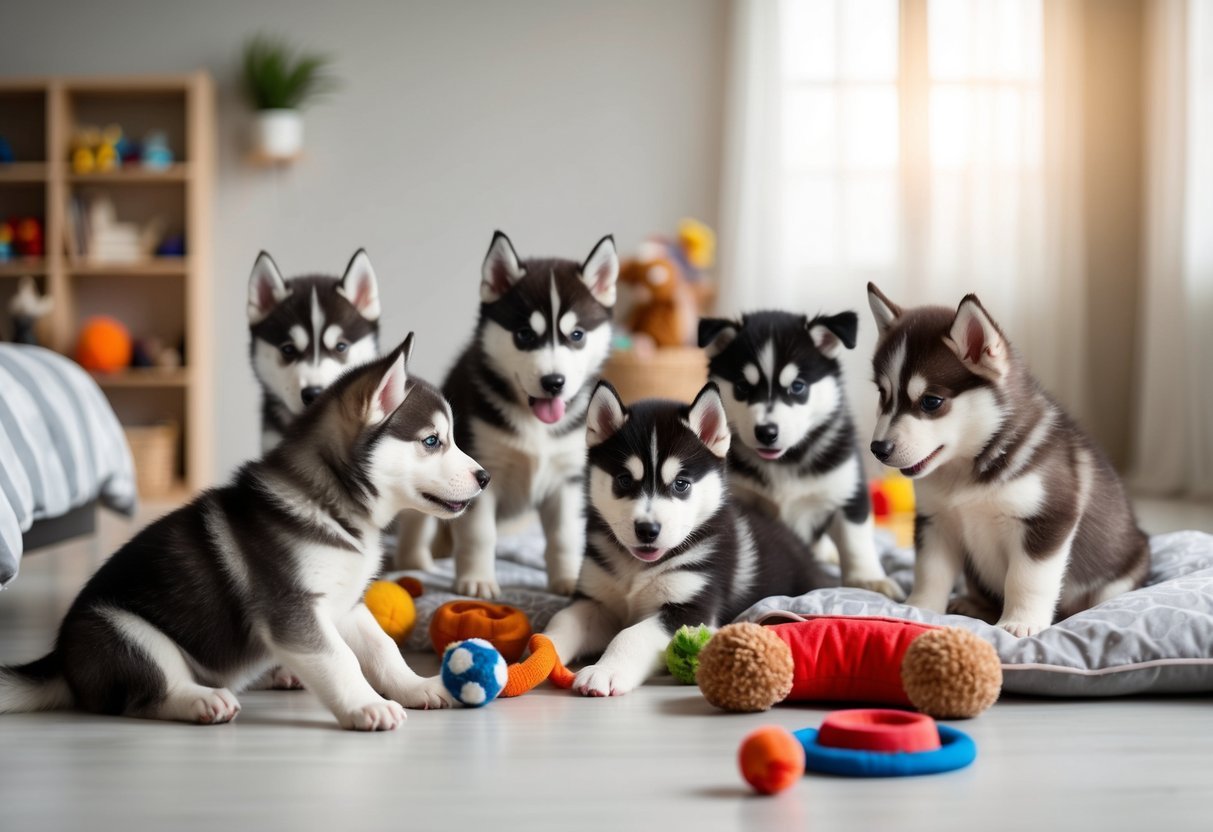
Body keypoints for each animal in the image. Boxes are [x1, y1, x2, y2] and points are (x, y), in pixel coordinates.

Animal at [2, 337, 492, 727]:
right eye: (432, 441)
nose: (485, 477)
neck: (333, 507)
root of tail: (60, 663)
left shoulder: (345, 605)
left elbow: (382, 649)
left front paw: (415, 686)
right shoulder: (292, 608)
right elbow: (340, 659)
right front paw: (365, 706)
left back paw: (280, 674)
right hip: (124, 631)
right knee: (149, 693)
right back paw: (201, 701)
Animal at [543, 383, 819, 698]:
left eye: (681, 484)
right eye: (624, 480)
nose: (647, 530)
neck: (636, 568)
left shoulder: (692, 608)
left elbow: (631, 634)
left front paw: (605, 670)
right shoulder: (594, 600)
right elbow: (563, 620)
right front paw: (542, 649)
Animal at [703, 312, 902, 599]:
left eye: (798, 386)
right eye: (742, 387)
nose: (766, 432)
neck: (784, 462)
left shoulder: (847, 489)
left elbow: (856, 540)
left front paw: (868, 579)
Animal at [863, 286, 1145, 640]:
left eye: (931, 401)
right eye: (883, 395)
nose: (878, 448)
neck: (966, 471)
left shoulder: (1047, 519)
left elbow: (1025, 579)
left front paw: (1020, 622)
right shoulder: (936, 521)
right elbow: (930, 571)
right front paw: (920, 607)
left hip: (1122, 569)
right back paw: (971, 604)